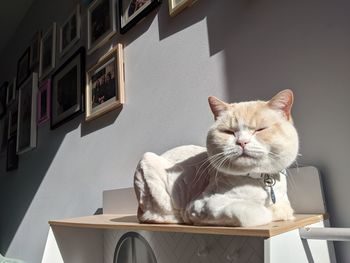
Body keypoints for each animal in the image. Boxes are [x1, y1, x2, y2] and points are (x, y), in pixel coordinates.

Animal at [133, 90, 298, 227]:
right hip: (147, 164)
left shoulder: (284, 204)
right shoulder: (200, 206)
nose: (242, 142)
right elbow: (255, 214)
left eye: (260, 130)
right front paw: (266, 211)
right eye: (228, 132)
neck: (257, 182)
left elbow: (284, 210)